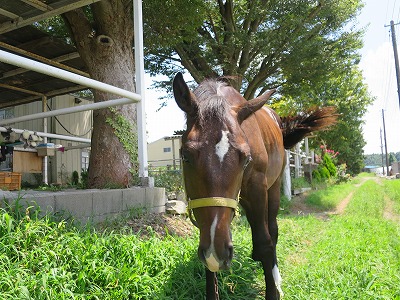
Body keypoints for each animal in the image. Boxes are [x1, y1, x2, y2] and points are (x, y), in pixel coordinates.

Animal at [172, 72, 338, 300]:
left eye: (246, 158)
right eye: (186, 156)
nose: (218, 253)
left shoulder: (257, 188)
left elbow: (265, 242)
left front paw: (273, 290)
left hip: (273, 187)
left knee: (272, 230)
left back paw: (275, 277)